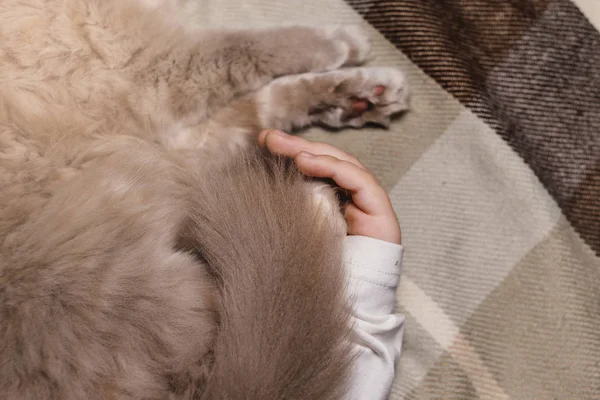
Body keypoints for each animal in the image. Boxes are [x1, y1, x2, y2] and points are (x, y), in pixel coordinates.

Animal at [0, 1, 408, 398]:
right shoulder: (157, 65)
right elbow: (255, 46)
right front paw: (347, 43)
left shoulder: (175, 131)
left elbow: (266, 104)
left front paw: (363, 92)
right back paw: (318, 200)